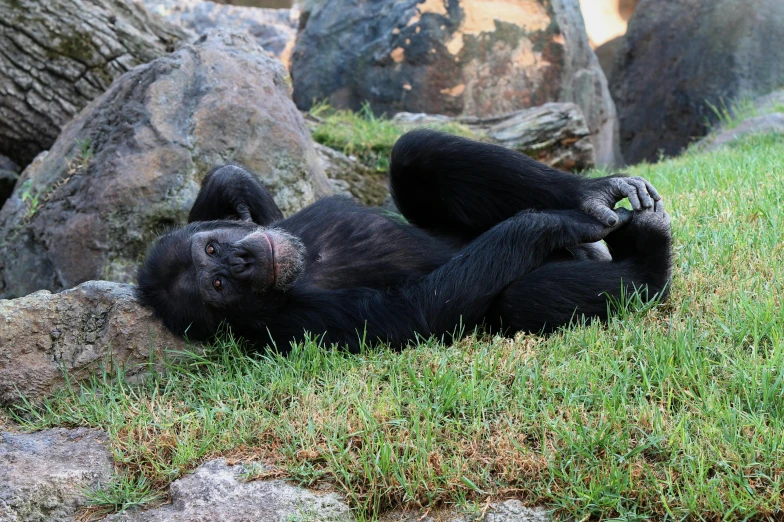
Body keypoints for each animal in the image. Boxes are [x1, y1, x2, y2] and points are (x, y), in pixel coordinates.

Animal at [136, 128, 672, 352]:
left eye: (212, 250)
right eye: (218, 286)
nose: (238, 261)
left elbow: (242, 197)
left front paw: (232, 190)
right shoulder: (301, 325)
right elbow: (415, 312)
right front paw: (551, 224)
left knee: (417, 151)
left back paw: (593, 194)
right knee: (519, 299)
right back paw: (646, 261)